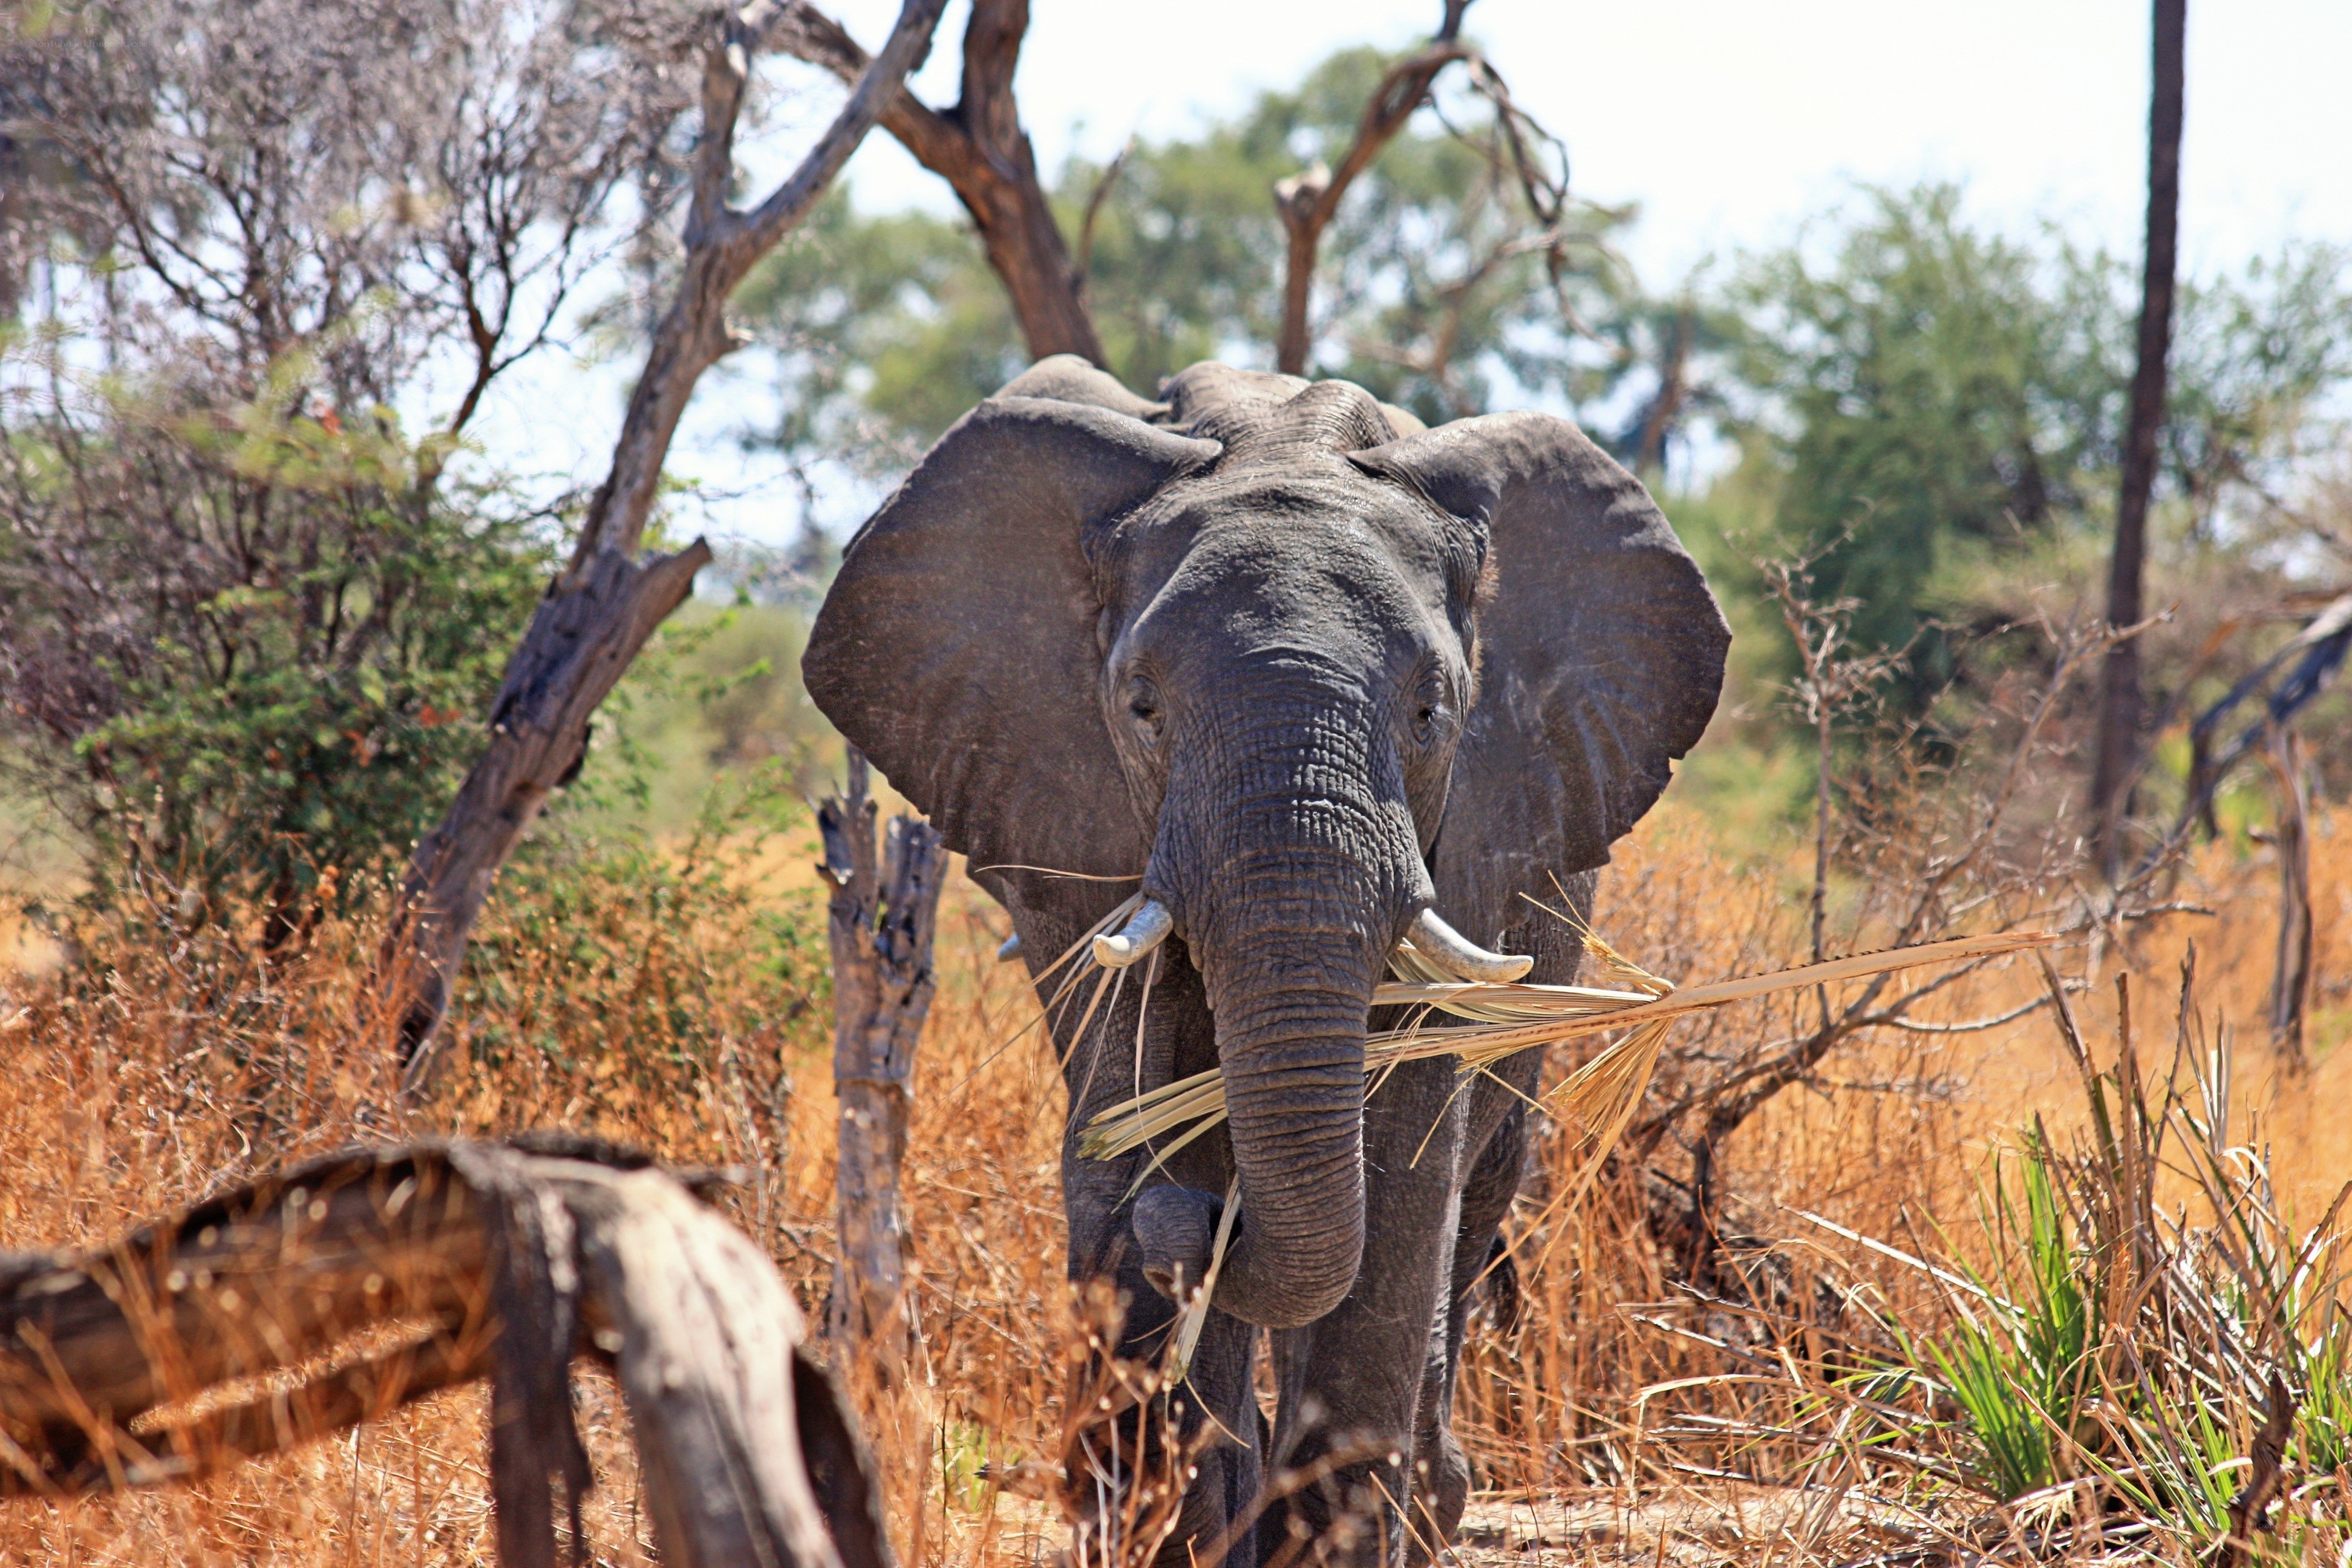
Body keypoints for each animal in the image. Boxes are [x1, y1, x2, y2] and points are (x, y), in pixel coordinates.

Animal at [803, 356, 1727, 1568]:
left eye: (1430, 710)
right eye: (1141, 707)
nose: (1199, 1226)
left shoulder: (1477, 832)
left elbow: (1398, 1165)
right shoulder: (1070, 814)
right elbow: (1131, 1103)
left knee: (1476, 1186)